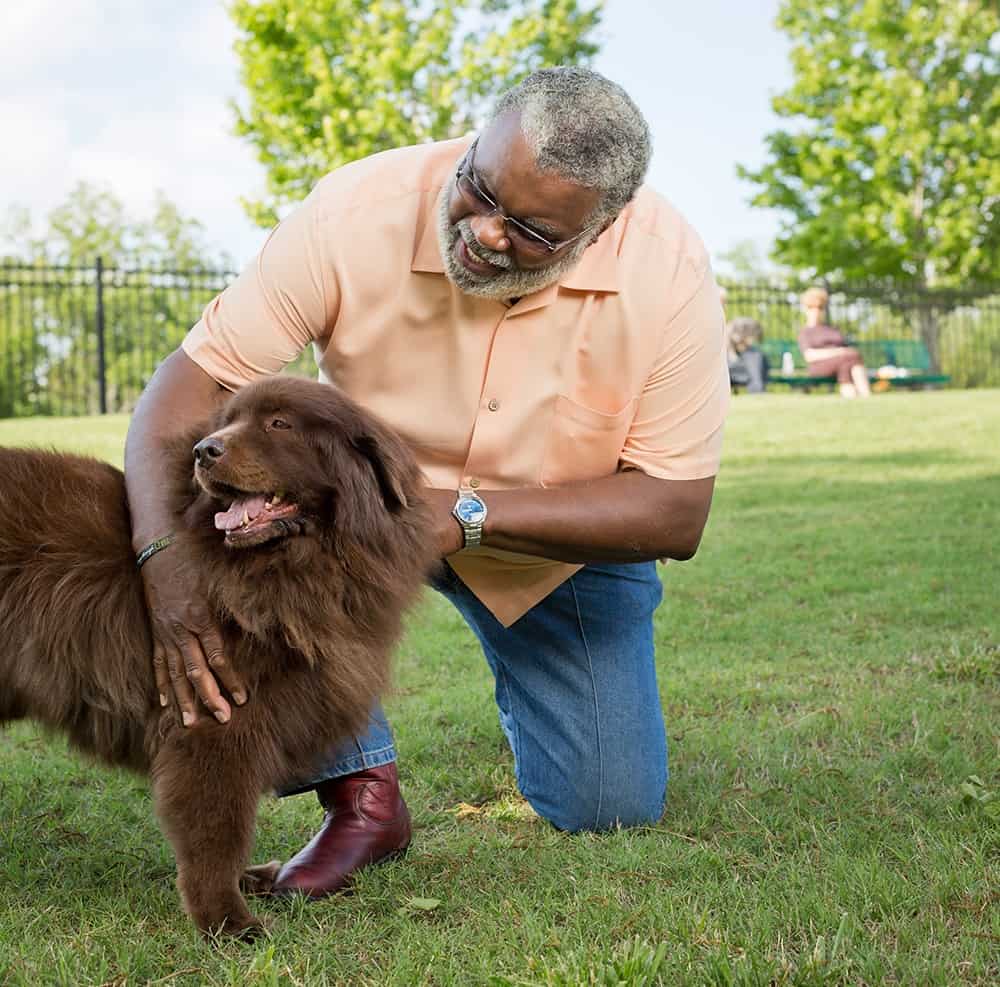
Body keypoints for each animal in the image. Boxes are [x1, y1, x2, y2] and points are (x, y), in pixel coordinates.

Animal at [0, 378, 438, 940]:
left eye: (279, 423)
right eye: (225, 423)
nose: (203, 451)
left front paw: (247, 884)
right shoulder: (216, 725)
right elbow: (217, 829)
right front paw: (228, 923)